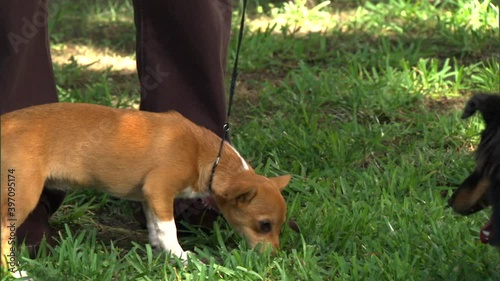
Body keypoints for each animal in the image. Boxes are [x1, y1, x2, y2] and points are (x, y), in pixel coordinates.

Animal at [0, 103, 292, 272]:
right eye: (264, 225)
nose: (275, 258)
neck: (207, 155)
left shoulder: (149, 198)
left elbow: (155, 227)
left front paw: (162, 252)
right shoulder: (160, 190)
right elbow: (169, 229)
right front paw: (182, 257)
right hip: (23, 194)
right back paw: (16, 273)